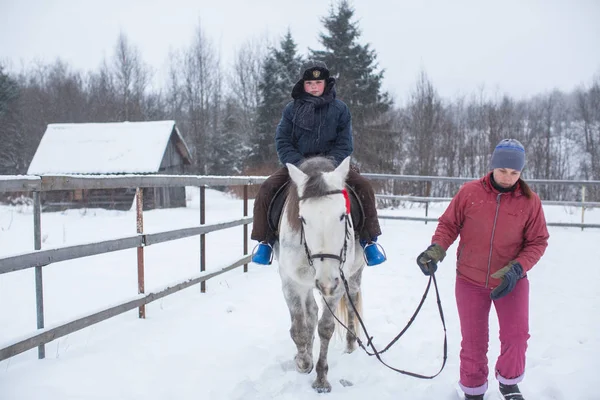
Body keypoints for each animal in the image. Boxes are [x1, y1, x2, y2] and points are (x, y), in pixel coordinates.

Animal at [274, 155, 366, 392]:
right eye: (303, 219)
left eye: (343, 216)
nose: (325, 281)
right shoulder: (291, 282)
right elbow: (300, 327)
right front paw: (303, 361)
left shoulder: (337, 284)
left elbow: (325, 327)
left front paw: (321, 379)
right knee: (311, 313)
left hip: (353, 276)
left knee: (351, 302)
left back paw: (350, 344)